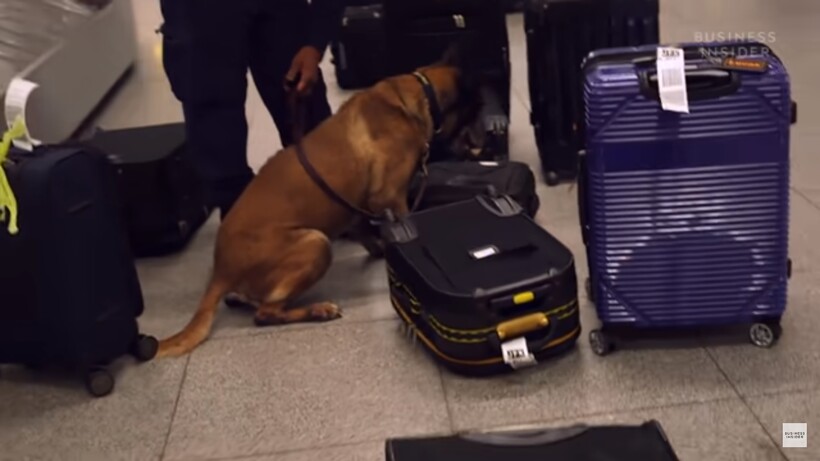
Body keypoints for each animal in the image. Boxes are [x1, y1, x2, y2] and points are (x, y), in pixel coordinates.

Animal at [155, 46, 487, 358]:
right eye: (478, 110)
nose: (487, 142)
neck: (420, 94)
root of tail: (221, 270)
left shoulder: (359, 205)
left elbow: (367, 231)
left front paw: (381, 249)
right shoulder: (390, 196)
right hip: (315, 243)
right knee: (265, 314)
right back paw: (317, 310)